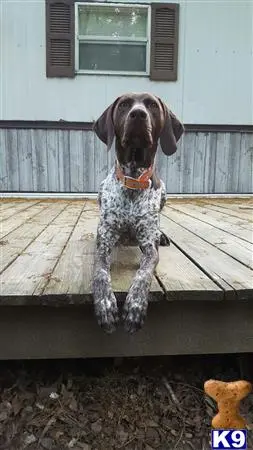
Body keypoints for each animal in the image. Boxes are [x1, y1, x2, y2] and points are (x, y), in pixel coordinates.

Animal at [92, 93, 183, 334]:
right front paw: (105, 305)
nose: (138, 114)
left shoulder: (150, 248)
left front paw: (135, 305)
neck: (133, 179)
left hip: (164, 192)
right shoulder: (104, 244)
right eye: (124, 105)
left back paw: (163, 235)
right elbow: (100, 272)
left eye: (151, 105)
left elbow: (144, 273)